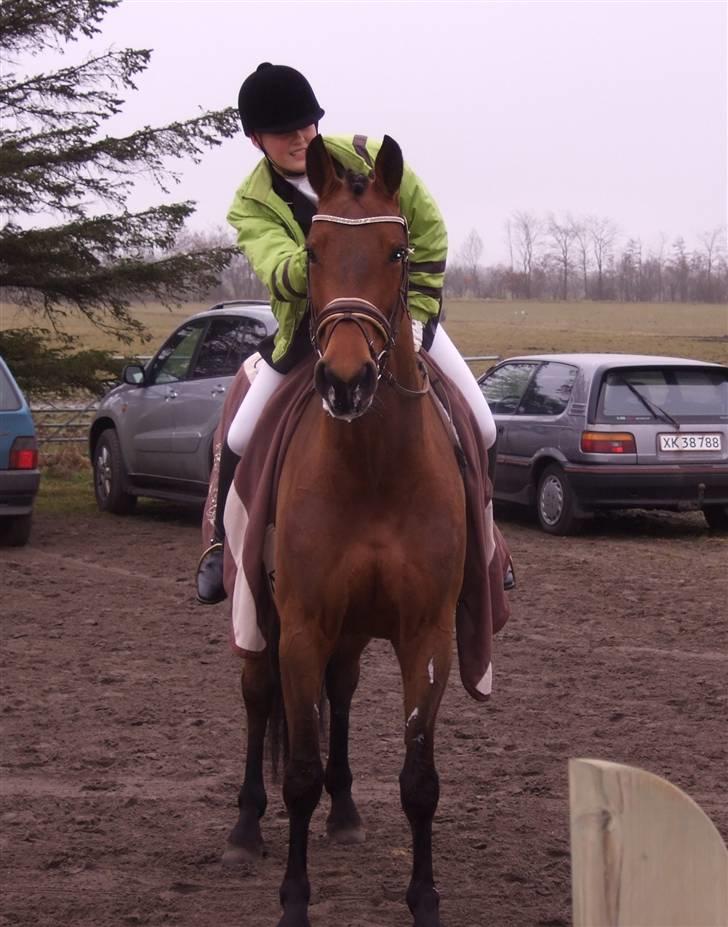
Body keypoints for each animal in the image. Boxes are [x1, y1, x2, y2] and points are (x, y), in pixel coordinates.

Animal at [225, 136, 470, 927]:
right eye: (313, 249)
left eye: (398, 250)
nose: (345, 382)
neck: (372, 466)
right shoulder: (302, 624)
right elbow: (297, 770)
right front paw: (294, 902)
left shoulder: (427, 634)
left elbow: (421, 779)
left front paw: (425, 900)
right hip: (258, 613)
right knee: (256, 695)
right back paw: (246, 824)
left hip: (359, 628)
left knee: (343, 689)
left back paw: (347, 809)